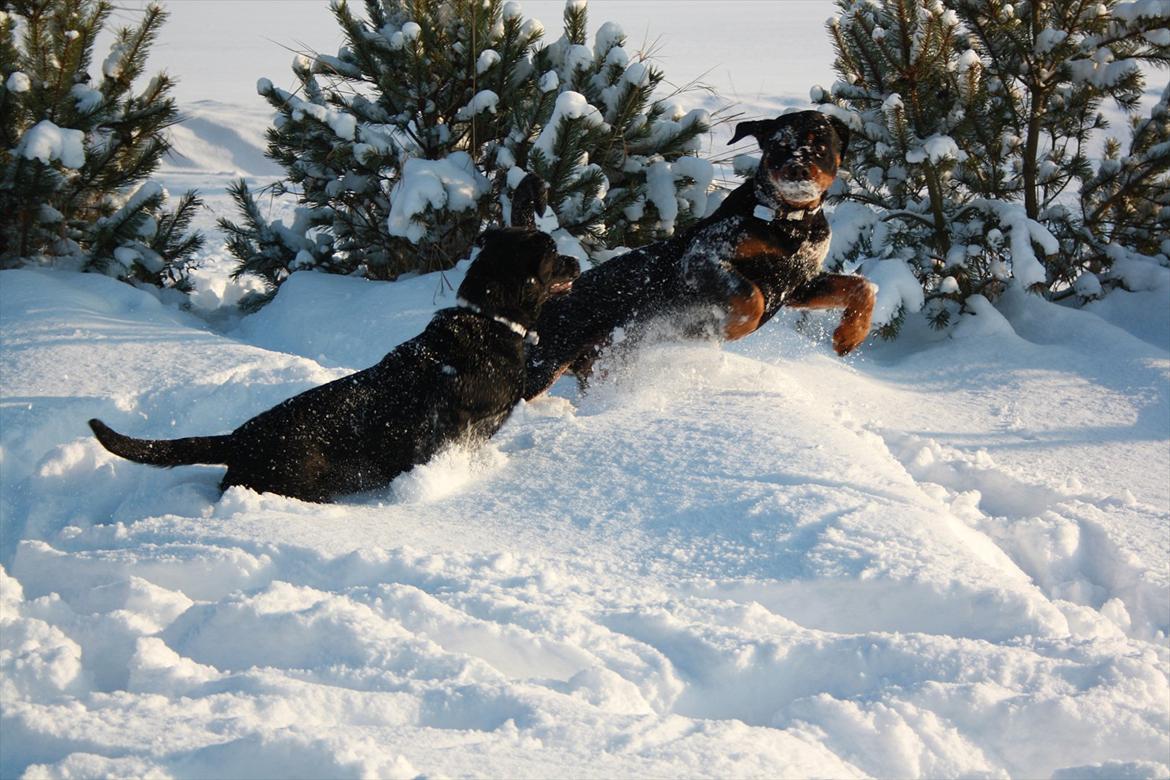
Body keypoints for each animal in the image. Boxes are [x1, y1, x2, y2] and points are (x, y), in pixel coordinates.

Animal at [526, 109, 875, 399]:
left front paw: (849, 337)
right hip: (546, 361)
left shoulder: (800, 284)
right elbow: (750, 298)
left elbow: (862, 286)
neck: (789, 225)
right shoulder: (703, 257)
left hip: (601, 365)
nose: (798, 169)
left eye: (821, 144)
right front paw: (725, 329)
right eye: (778, 145)